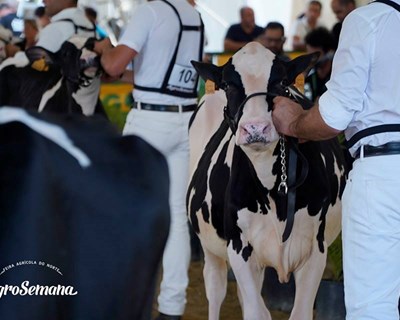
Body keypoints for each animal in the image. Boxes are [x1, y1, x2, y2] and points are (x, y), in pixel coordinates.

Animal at [188, 42, 346, 320]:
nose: (255, 128)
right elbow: (256, 312)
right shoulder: (239, 249)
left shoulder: (316, 250)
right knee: (216, 288)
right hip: (209, 246)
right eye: (227, 84)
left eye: (281, 82)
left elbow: (299, 313)